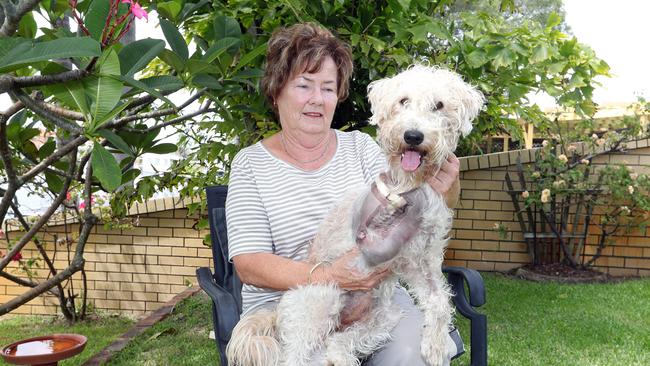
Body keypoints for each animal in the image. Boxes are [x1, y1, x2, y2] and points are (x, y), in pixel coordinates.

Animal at [225, 66, 484, 366]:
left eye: (439, 105)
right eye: (403, 100)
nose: (413, 136)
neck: (411, 184)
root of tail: (277, 311)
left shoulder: (421, 262)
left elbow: (439, 300)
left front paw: (436, 345)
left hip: (384, 315)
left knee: (336, 343)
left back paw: (342, 357)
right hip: (323, 296)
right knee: (295, 357)